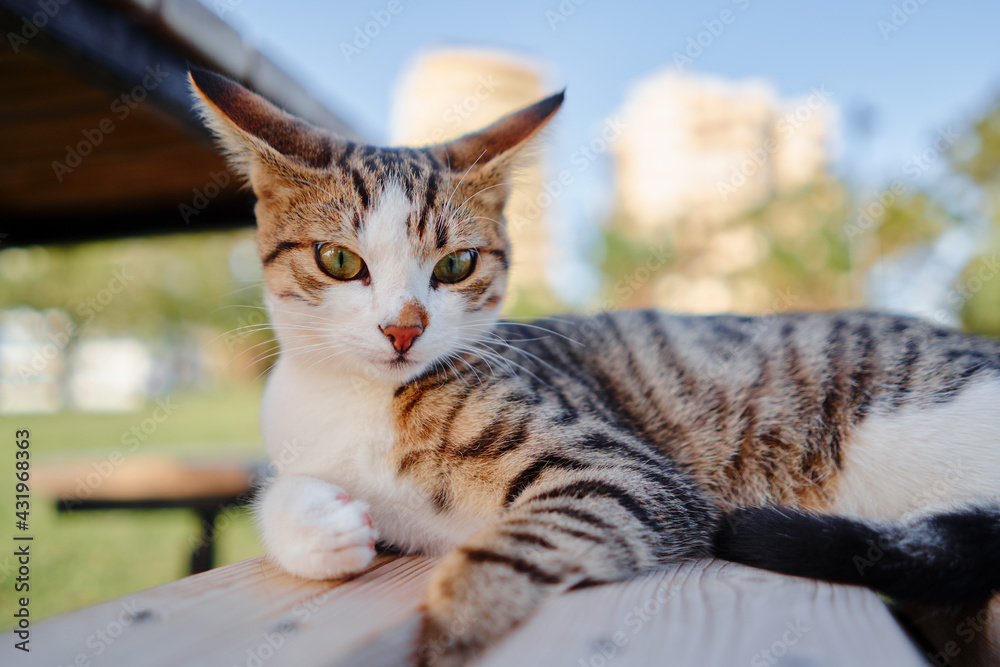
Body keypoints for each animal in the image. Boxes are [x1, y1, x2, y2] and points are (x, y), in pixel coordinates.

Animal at [189, 65, 1000, 664]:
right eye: (338, 260)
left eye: (455, 265)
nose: (402, 328)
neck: (356, 402)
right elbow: (282, 492)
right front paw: (324, 528)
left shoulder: (626, 472)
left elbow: (523, 542)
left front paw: (448, 626)